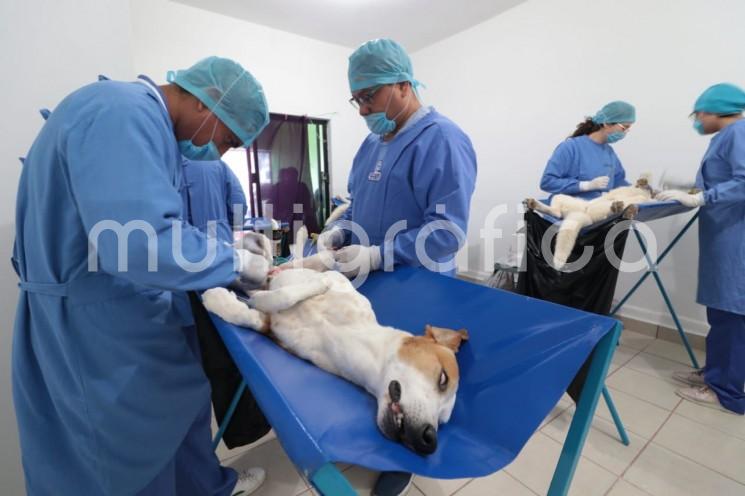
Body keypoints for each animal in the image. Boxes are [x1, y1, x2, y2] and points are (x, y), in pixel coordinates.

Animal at [201, 254, 468, 456]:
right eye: (443, 378)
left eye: (442, 422)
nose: (429, 441)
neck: (347, 337)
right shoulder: (324, 282)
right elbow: (284, 294)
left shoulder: (272, 329)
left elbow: (255, 310)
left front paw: (224, 300)